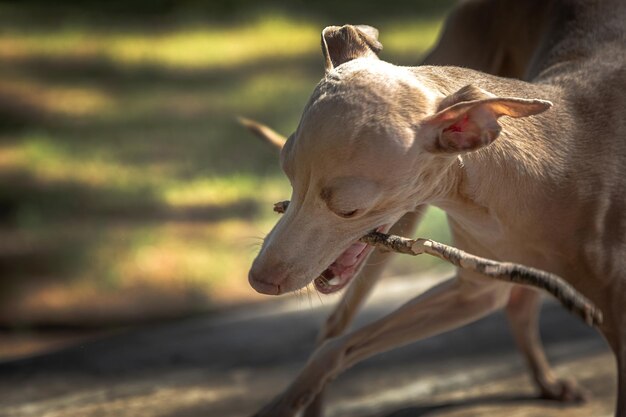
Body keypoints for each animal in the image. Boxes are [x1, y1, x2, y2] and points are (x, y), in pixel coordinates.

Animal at [246, 1, 620, 414]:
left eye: (349, 209)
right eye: (288, 172)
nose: (259, 280)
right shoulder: (475, 289)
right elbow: (334, 350)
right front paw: (287, 400)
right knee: (334, 328)